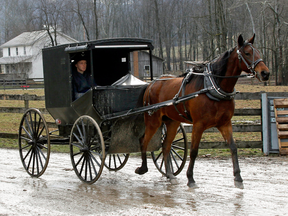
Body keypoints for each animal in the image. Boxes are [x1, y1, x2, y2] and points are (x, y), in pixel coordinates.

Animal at [135, 34, 270, 187]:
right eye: (247, 53)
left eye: (258, 51)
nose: (265, 73)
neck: (212, 87)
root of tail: (152, 83)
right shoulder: (198, 125)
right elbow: (194, 151)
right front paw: (190, 178)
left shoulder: (225, 123)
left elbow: (233, 147)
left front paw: (238, 178)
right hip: (153, 120)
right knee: (144, 141)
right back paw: (143, 168)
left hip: (172, 122)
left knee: (166, 146)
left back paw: (170, 175)